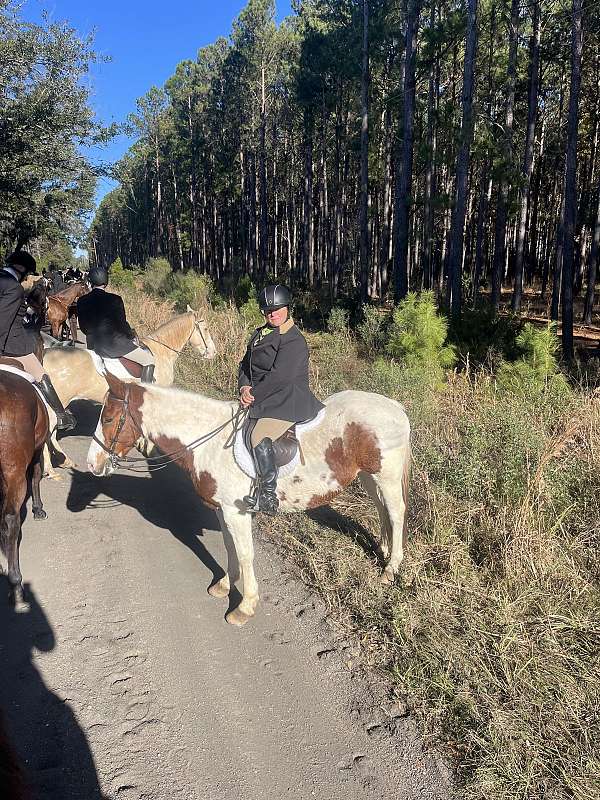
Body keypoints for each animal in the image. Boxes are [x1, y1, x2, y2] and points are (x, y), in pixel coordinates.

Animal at [40, 308, 213, 476]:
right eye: (205, 328)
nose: (213, 352)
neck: (161, 352)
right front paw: (153, 452)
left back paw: (63, 461)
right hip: (59, 401)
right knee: (50, 430)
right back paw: (51, 468)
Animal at [86, 372, 410, 628]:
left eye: (109, 418)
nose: (92, 464)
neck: (209, 442)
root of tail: (396, 407)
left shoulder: (236, 512)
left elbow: (245, 554)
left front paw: (245, 606)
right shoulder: (223, 510)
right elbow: (229, 546)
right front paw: (224, 585)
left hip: (387, 476)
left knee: (395, 512)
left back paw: (390, 569)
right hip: (368, 476)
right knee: (381, 508)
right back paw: (382, 550)